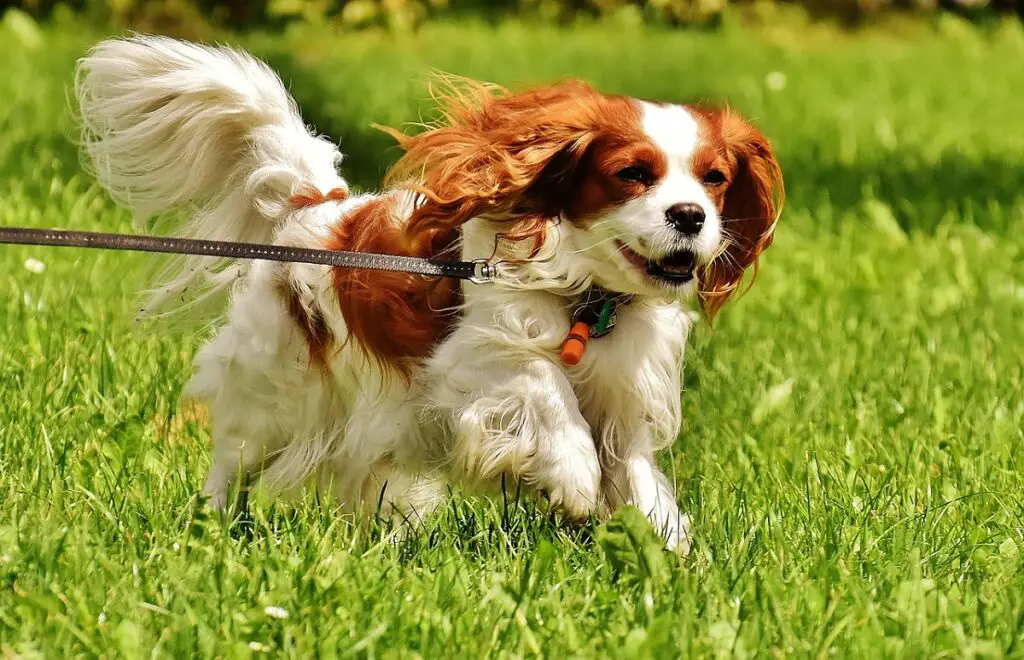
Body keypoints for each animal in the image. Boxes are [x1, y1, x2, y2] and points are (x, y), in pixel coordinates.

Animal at [75, 34, 782, 552]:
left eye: (715, 179)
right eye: (632, 174)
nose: (690, 215)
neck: (586, 294)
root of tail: (315, 206)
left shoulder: (623, 401)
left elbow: (635, 476)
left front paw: (667, 546)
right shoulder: (466, 363)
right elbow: (545, 384)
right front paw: (573, 476)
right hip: (272, 392)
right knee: (233, 460)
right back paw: (212, 525)